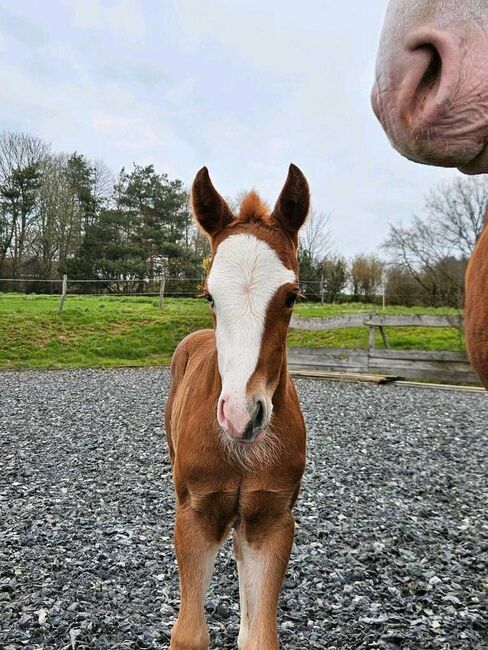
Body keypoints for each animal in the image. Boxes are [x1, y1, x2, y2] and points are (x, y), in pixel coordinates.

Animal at [164, 165, 308, 644]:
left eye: (291, 296)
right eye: (209, 295)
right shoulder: (196, 514)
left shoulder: (271, 520)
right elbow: (188, 634)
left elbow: (259, 636)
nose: (241, 416)